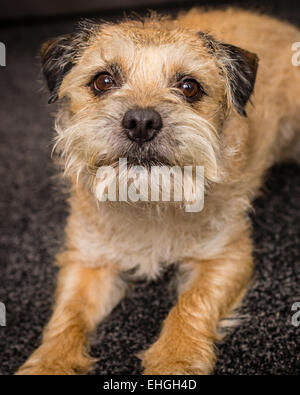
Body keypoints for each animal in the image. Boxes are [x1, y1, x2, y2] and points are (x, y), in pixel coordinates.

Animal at [17, 7, 300, 376]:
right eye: (103, 81)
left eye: (189, 87)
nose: (141, 122)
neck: (147, 201)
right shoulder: (87, 263)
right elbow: (68, 315)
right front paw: (50, 362)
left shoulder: (227, 257)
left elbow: (191, 304)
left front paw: (175, 358)